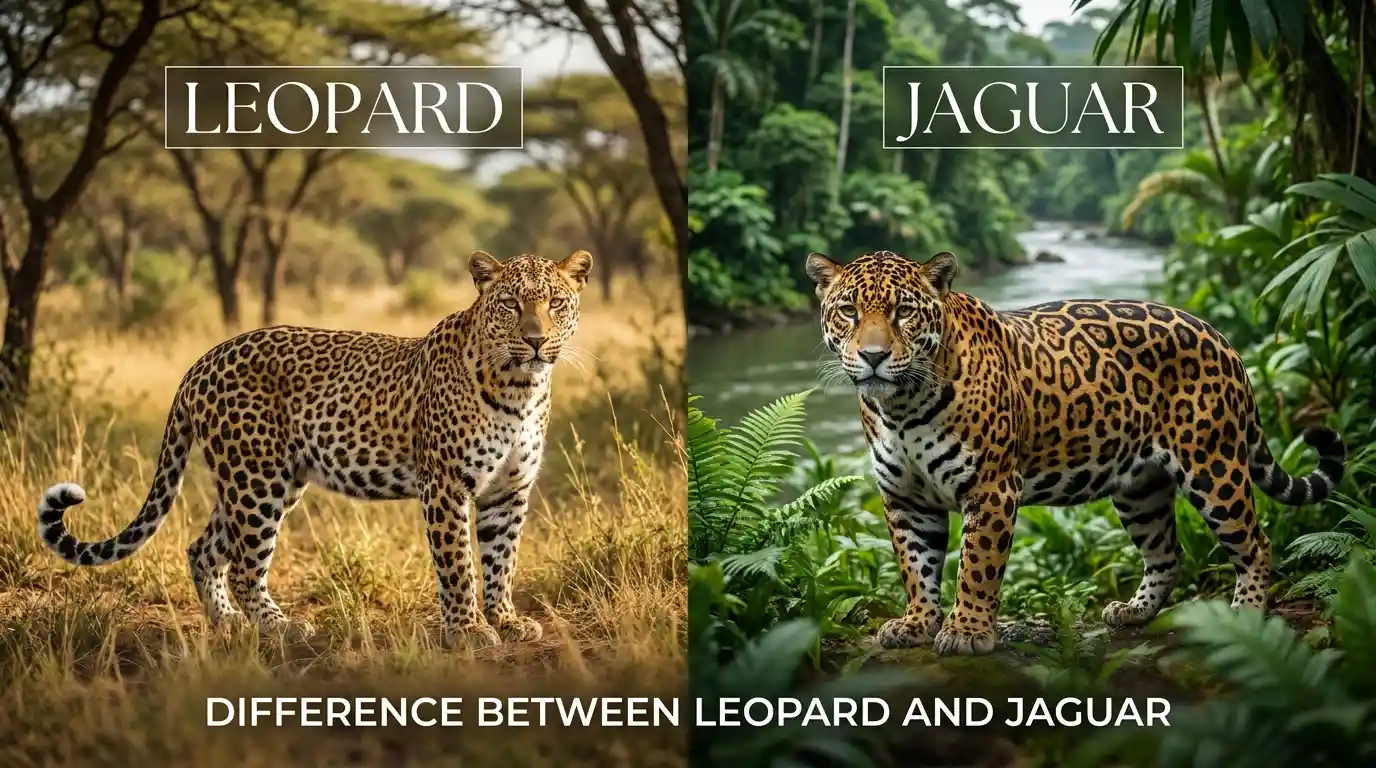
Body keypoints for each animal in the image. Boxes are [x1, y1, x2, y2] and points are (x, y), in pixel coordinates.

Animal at [37, 249, 593, 650]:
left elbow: (502, 560)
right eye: (510, 305)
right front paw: (469, 629)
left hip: (267, 481)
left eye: (556, 304)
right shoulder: (446, 485)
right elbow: (458, 563)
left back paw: (227, 623)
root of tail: (202, 360)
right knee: (246, 566)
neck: (521, 387)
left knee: (204, 549)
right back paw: (280, 628)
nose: (536, 340)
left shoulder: (509, 490)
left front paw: (507, 620)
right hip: (256, 480)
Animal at [805, 249, 1347, 656]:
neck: (901, 406)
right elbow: (915, 567)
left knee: (1256, 543)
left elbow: (977, 567)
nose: (874, 356)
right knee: (1166, 552)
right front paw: (916, 623)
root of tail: (1221, 337)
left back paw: (1247, 613)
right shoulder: (905, 499)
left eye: (904, 311)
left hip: (1214, 466)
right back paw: (1134, 611)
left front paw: (967, 631)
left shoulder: (992, 489)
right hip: (1140, 488)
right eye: (849, 311)